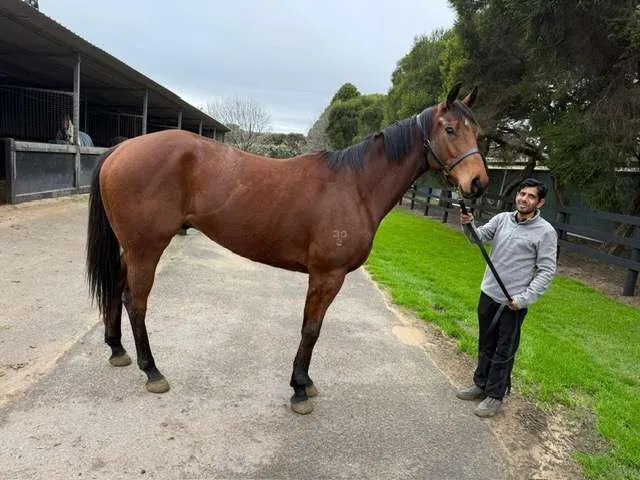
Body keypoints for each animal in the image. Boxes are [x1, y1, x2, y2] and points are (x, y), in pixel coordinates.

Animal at [86, 83, 489, 415]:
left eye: (478, 131)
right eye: (450, 129)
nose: (478, 183)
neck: (355, 186)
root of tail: (121, 148)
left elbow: (314, 328)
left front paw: (306, 383)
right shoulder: (327, 275)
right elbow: (311, 329)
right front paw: (299, 390)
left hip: (132, 248)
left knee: (116, 290)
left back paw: (117, 350)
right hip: (146, 248)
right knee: (135, 302)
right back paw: (152, 371)